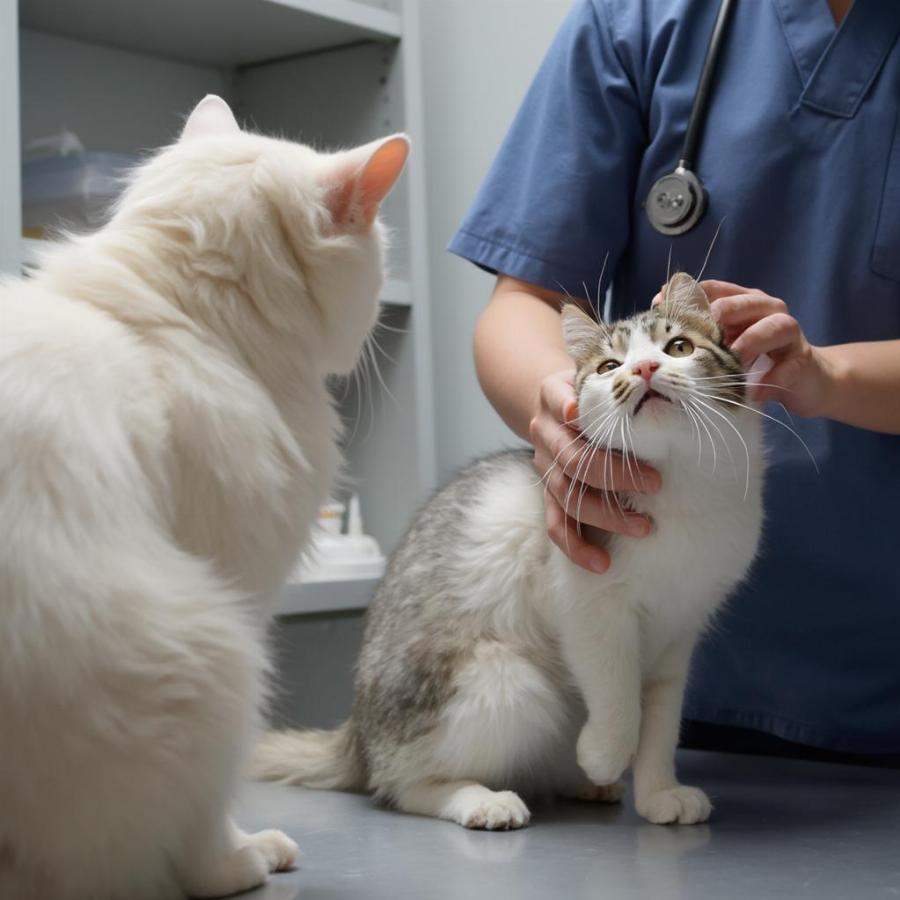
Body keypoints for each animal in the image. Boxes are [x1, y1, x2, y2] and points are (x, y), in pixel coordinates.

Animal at [0, 95, 408, 896]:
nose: (381, 312)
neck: (182, 313)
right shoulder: (241, 595)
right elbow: (210, 813)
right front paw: (241, 860)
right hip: (218, 658)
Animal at [256, 272, 764, 828]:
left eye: (679, 348)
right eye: (609, 367)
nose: (645, 369)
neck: (683, 490)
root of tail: (359, 733)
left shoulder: (679, 631)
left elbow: (660, 723)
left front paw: (658, 794)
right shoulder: (591, 607)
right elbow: (618, 697)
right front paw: (604, 753)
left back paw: (585, 785)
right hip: (507, 681)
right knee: (400, 786)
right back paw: (484, 800)